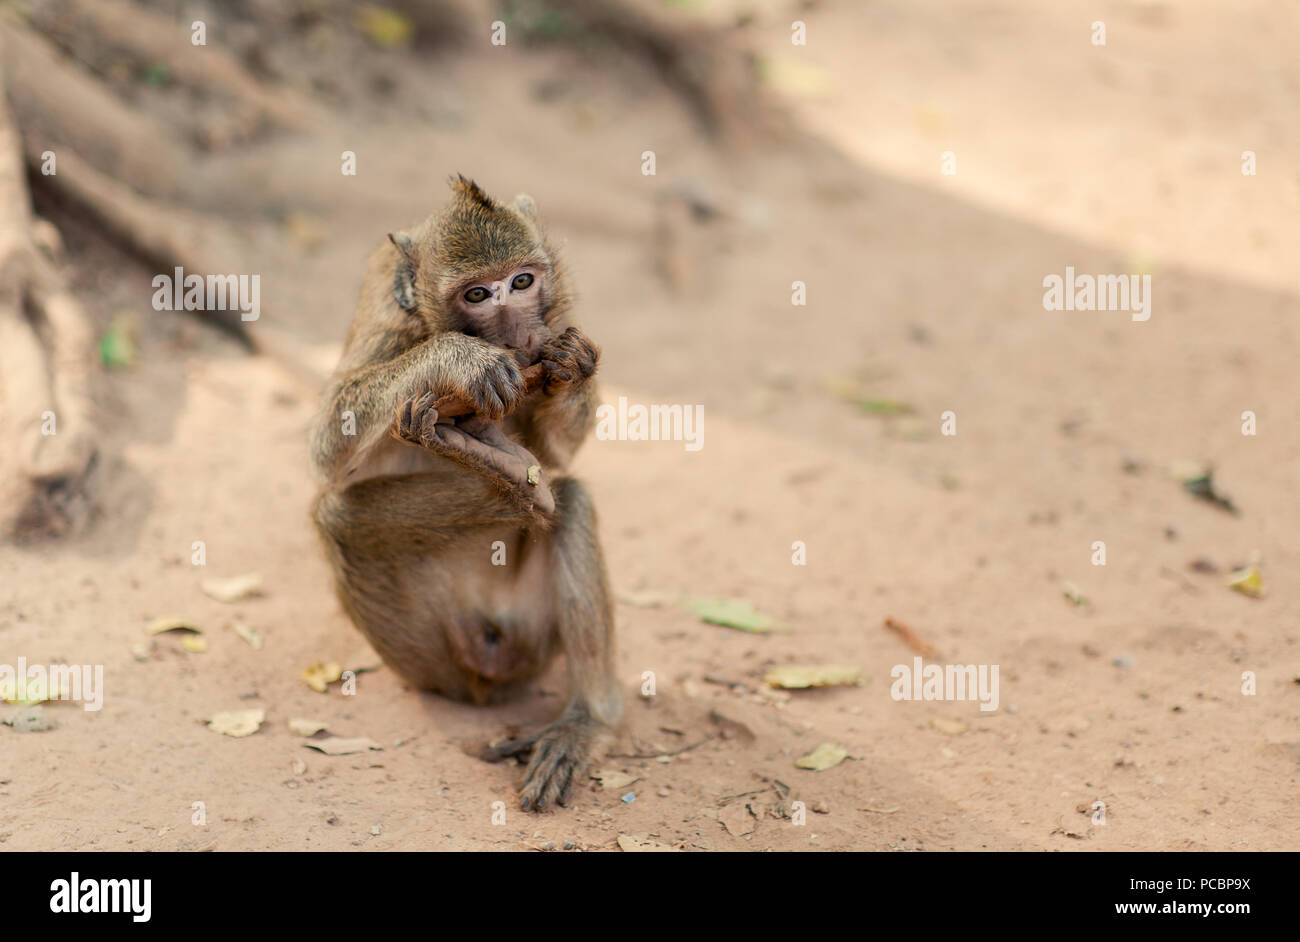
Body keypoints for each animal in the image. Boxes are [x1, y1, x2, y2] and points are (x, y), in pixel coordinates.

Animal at [312, 176, 621, 810]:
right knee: (336, 515)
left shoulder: (561, 307)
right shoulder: (386, 305)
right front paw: (460, 359)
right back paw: (505, 478)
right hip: (432, 662)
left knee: (571, 499)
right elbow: (331, 438)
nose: (518, 333)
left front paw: (572, 365)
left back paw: (587, 723)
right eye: (478, 295)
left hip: (532, 642)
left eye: (522, 282)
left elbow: (559, 455)